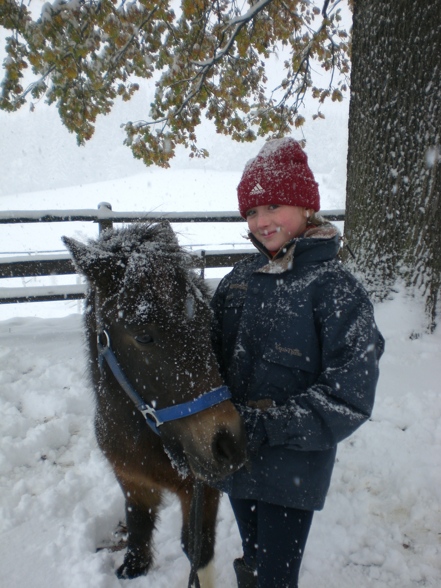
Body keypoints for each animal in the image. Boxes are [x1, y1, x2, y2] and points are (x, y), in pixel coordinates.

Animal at [63, 223, 246, 584]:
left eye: (207, 318)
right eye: (143, 335)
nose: (228, 445)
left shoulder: (202, 492)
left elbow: (198, 552)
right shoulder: (131, 479)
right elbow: (138, 523)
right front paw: (134, 567)